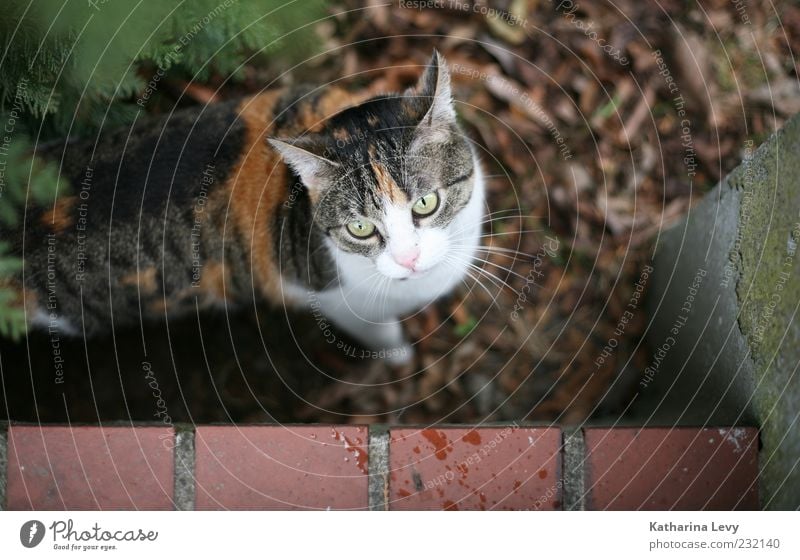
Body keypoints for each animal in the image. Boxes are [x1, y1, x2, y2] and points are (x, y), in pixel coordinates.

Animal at [9, 50, 484, 366]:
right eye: (361, 229)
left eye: (425, 203)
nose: (409, 259)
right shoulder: (332, 298)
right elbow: (380, 332)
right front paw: (400, 355)